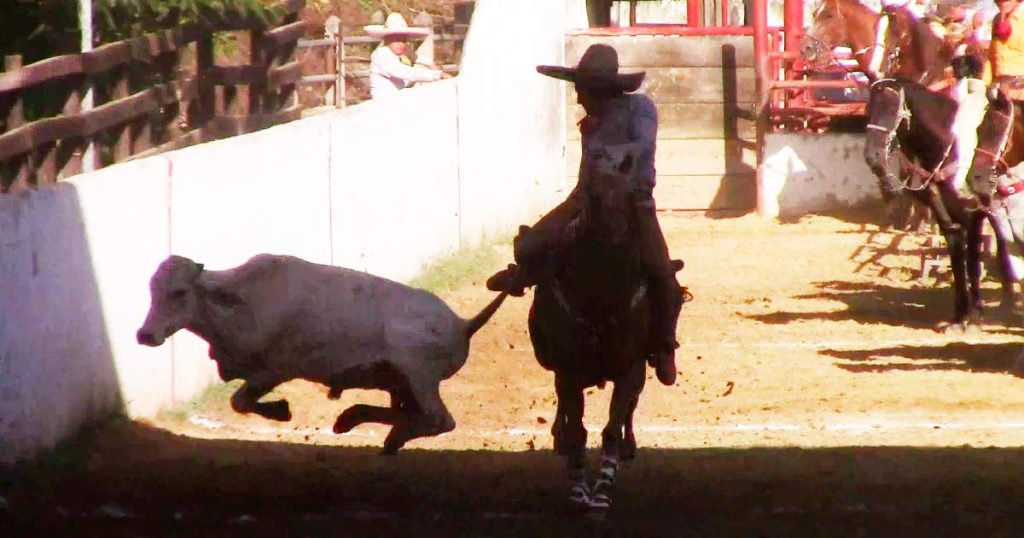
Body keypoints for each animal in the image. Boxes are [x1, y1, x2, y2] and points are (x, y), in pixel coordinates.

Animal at [524, 151, 684, 512]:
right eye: (588, 198)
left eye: (631, 196)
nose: (613, 242)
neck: (599, 299)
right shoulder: (568, 373)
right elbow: (577, 431)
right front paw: (579, 490)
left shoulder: (630, 369)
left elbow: (612, 426)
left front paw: (602, 491)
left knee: (629, 411)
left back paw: (628, 445)